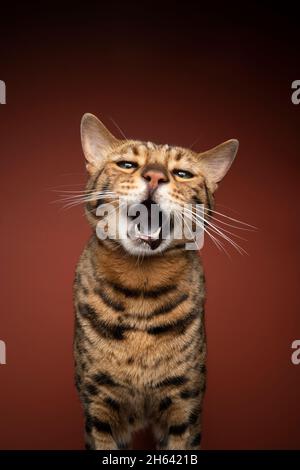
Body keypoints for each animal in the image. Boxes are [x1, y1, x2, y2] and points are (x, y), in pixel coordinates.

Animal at [73, 112, 239, 450]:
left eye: (182, 173)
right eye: (127, 164)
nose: (154, 177)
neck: (141, 288)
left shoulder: (185, 406)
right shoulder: (98, 407)